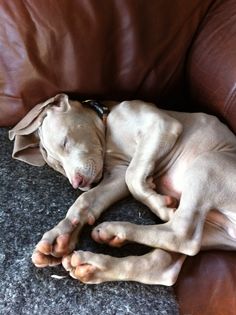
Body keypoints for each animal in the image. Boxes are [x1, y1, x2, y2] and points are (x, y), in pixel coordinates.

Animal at [9, 94, 236, 286]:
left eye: (65, 142)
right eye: (58, 167)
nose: (77, 183)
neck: (107, 121)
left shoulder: (162, 126)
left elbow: (133, 176)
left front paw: (160, 204)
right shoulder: (117, 172)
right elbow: (87, 199)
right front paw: (60, 236)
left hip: (209, 164)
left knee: (183, 235)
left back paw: (123, 228)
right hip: (213, 228)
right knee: (164, 265)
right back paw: (96, 260)